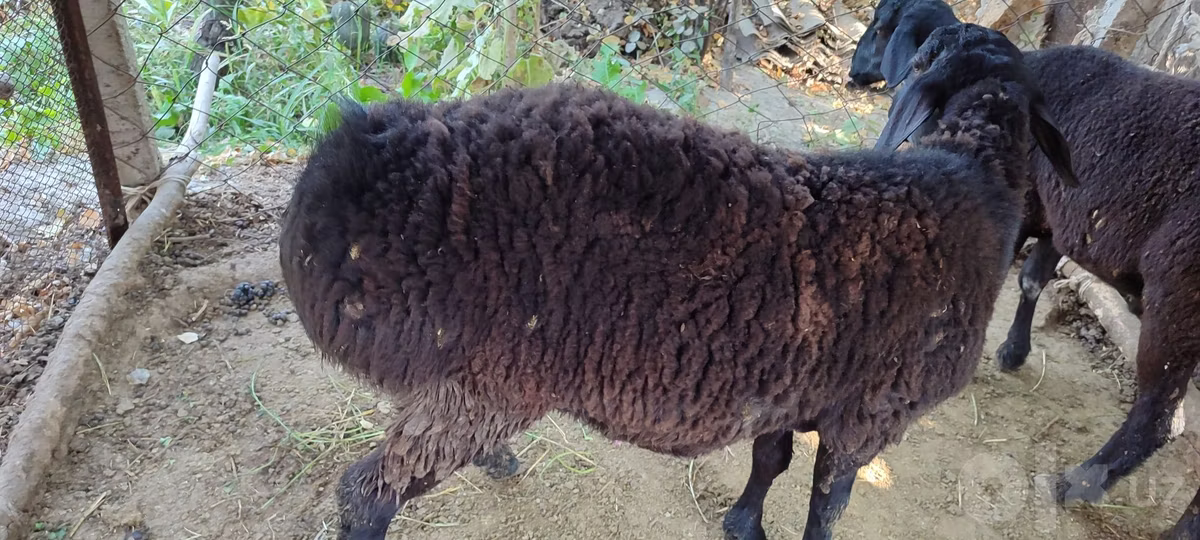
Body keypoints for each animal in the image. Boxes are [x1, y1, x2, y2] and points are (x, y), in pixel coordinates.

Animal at [278, 23, 1076, 540]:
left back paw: (498, 461)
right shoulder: (872, 414)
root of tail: (356, 174)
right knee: (367, 495)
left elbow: (772, 459)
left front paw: (743, 524)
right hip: (489, 378)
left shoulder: (791, 383)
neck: (970, 176)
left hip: (464, 377)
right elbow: (827, 507)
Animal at [847, 0, 1200, 532]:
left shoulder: (1020, 203)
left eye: (880, 25)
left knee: (1157, 417)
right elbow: (1032, 279)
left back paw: (1078, 484)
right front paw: (1014, 351)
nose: (853, 73)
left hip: (1180, 296)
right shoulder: (1056, 215)